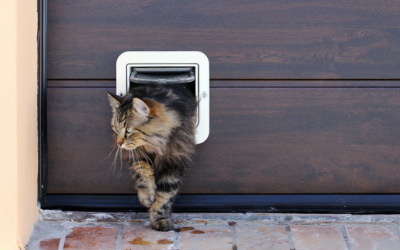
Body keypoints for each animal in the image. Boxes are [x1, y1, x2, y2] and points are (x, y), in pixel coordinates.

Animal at [108, 85, 197, 231]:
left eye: (129, 130)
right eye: (116, 128)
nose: (119, 143)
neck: (155, 144)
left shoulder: (172, 162)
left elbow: (165, 195)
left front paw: (160, 219)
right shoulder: (138, 154)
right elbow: (143, 175)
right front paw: (147, 197)